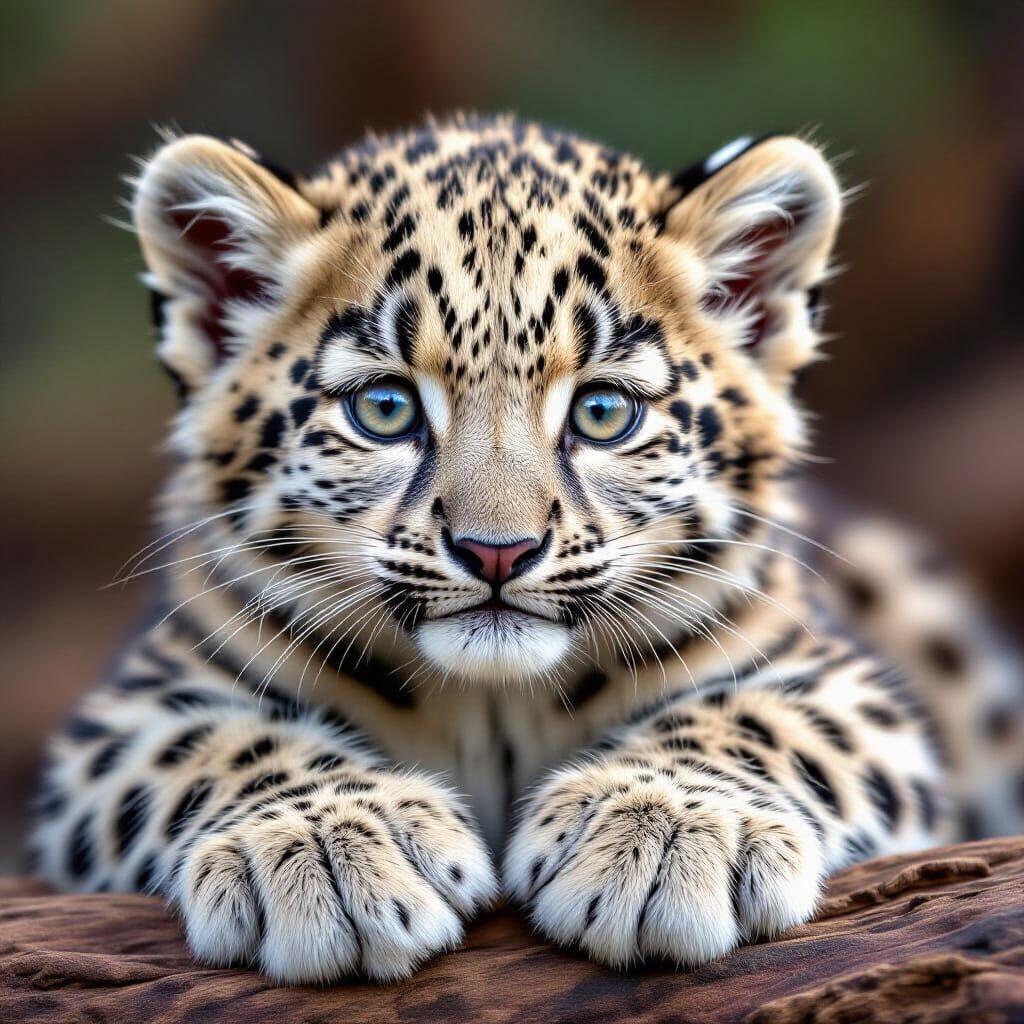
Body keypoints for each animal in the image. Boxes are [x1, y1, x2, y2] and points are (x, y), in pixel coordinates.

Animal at [29, 114, 1024, 984]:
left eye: (604, 412)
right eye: (384, 408)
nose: (497, 552)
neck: (494, 712)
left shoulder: (840, 681)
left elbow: (761, 722)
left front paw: (662, 832)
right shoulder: (126, 714)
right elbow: (215, 743)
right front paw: (327, 846)